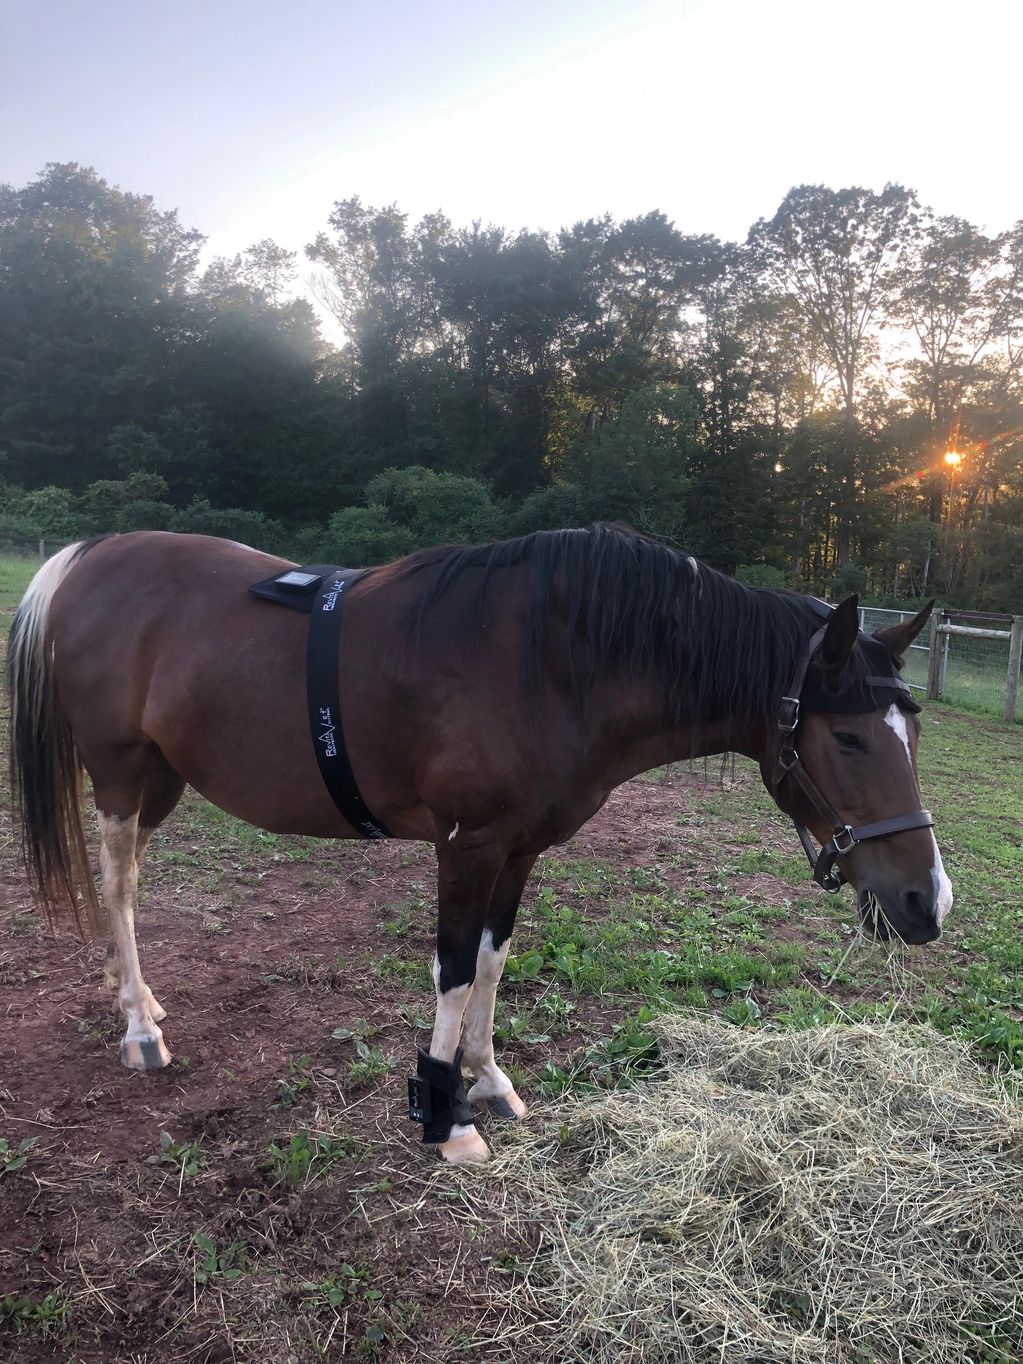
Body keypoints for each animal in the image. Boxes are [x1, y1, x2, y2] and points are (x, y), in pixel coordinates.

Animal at [8, 523, 954, 1162]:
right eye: (849, 739)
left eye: (911, 728)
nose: (926, 902)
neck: (556, 663)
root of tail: (91, 555)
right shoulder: (468, 845)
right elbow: (456, 969)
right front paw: (442, 1114)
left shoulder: (521, 848)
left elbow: (496, 960)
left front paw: (486, 1079)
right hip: (121, 774)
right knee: (121, 884)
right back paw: (138, 1028)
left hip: (163, 779)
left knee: (124, 879)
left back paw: (135, 993)